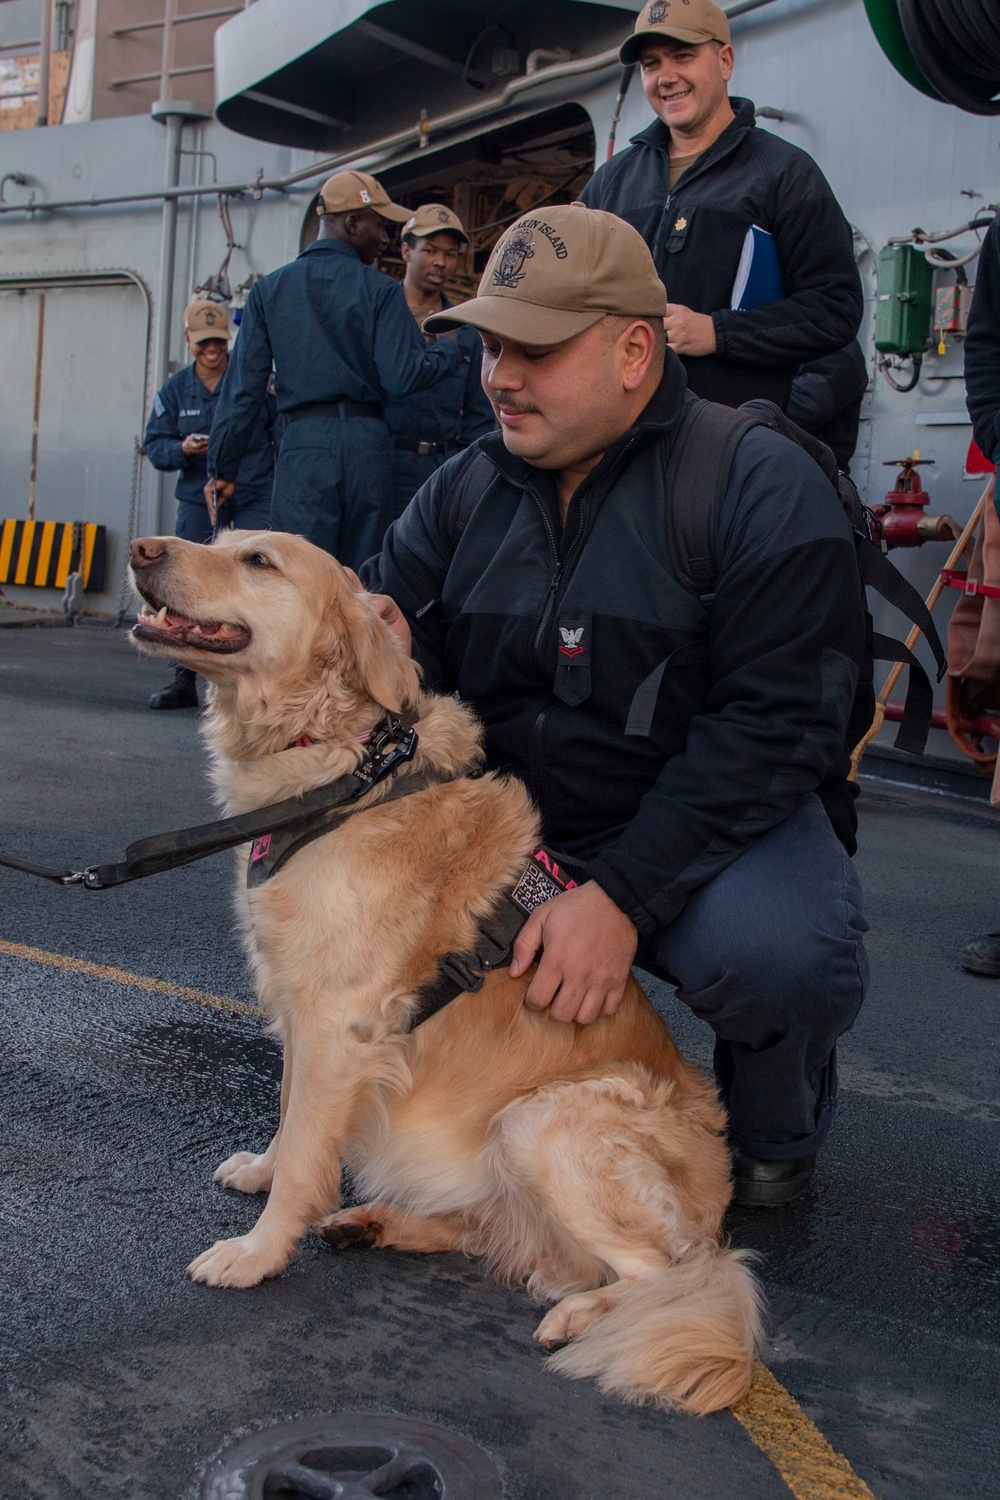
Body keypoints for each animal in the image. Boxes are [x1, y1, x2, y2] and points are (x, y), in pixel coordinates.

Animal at [131, 531, 758, 1416]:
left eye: (258, 561)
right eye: (217, 542)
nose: (144, 547)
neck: (343, 764)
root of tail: (719, 1204)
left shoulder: (341, 1023)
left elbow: (305, 1152)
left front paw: (257, 1253)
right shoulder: (301, 1007)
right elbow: (290, 1116)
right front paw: (262, 1171)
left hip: (539, 1125)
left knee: (665, 1274)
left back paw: (580, 1316)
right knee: (502, 1235)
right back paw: (376, 1223)